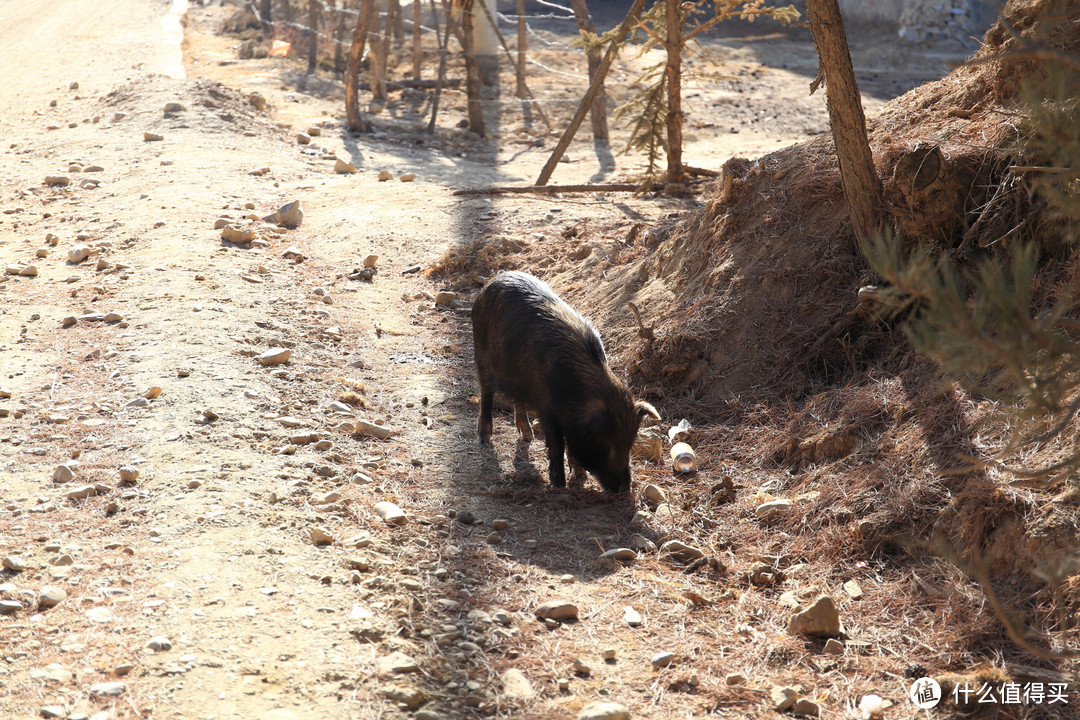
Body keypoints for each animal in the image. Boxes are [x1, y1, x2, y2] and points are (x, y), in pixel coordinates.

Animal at [470, 273, 656, 492]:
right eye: (604, 444)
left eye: (629, 443)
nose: (624, 488)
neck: (576, 392)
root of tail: (493, 281)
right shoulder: (547, 409)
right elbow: (557, 444)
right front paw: (559, 484)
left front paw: (580, 476)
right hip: (481, 351)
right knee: (486, 393)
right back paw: (484, 438)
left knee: (518, 401)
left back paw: (527, 436)